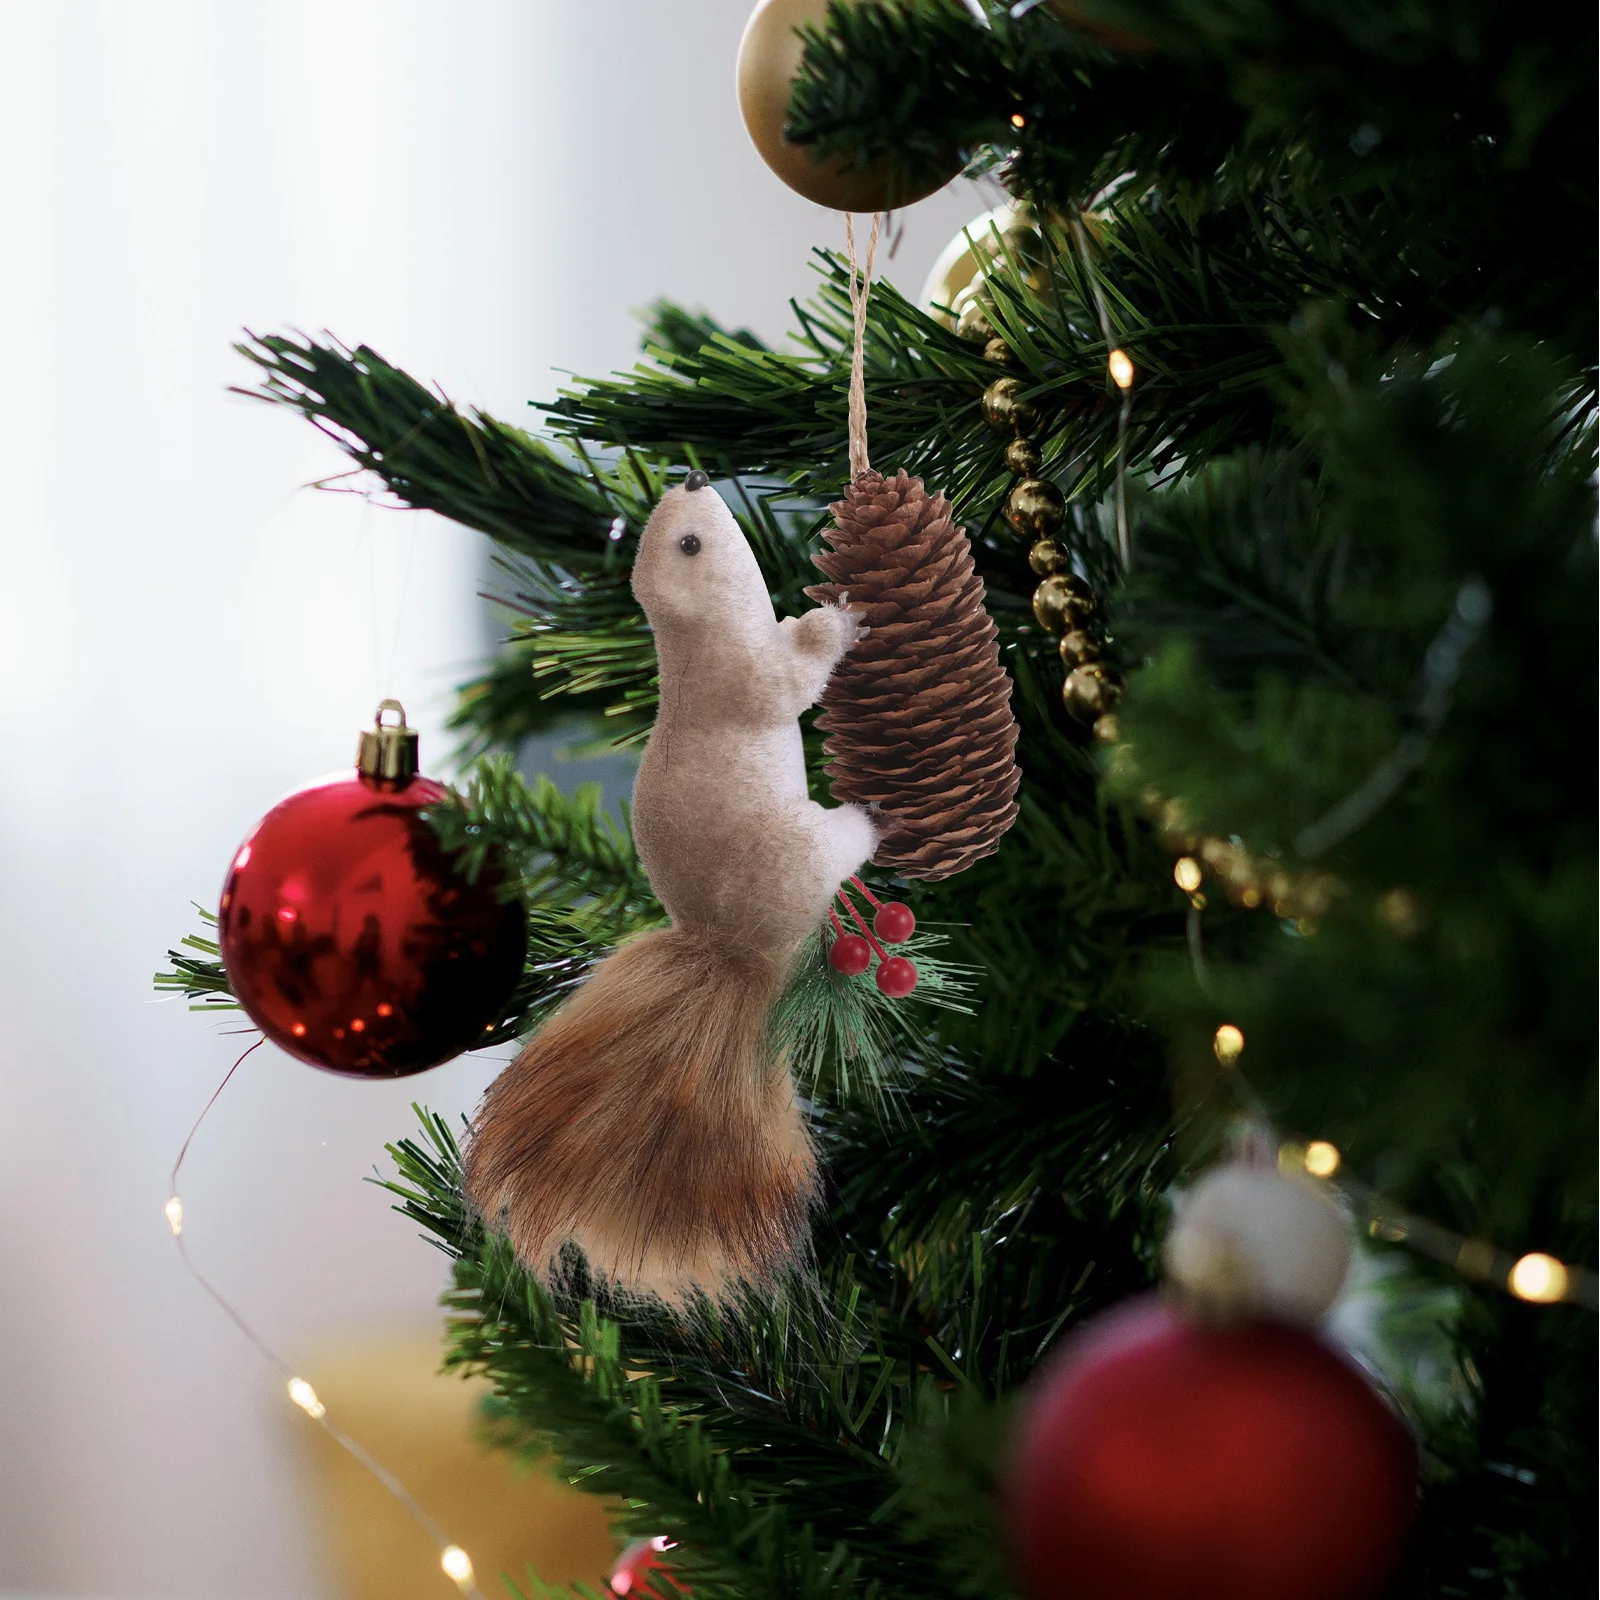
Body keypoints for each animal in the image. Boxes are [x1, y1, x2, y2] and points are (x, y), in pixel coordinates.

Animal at [465, 472, 878, 1300]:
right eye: (689, 544)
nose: (690, 476)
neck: (692, 646)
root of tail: (732, 954)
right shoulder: (745, 680)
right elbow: (789, 683)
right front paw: (840, 619)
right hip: (793, 850)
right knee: (834, 850)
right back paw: (868, 823)